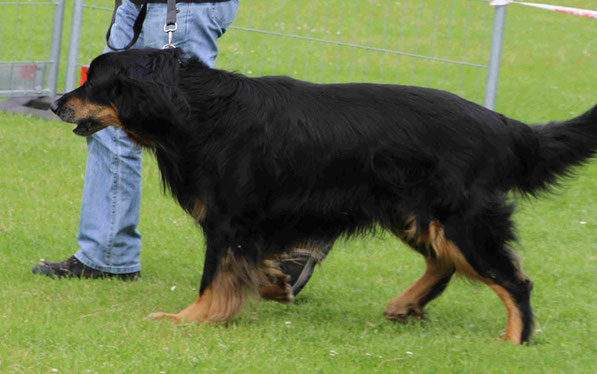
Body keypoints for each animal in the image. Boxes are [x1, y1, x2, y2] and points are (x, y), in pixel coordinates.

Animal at [52, 49, 596, 344]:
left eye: (93, 80)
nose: (56, 104)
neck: (198, 110)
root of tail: (502, 125)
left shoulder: (230, 222)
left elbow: (214, 280)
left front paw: (192, 318)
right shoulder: (253, 226)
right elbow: (254, 267)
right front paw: (275, 284)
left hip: (458, 219)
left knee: (513, 282)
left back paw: (515, 340)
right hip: (414, 215)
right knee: (443, 264)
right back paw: (406, 305)